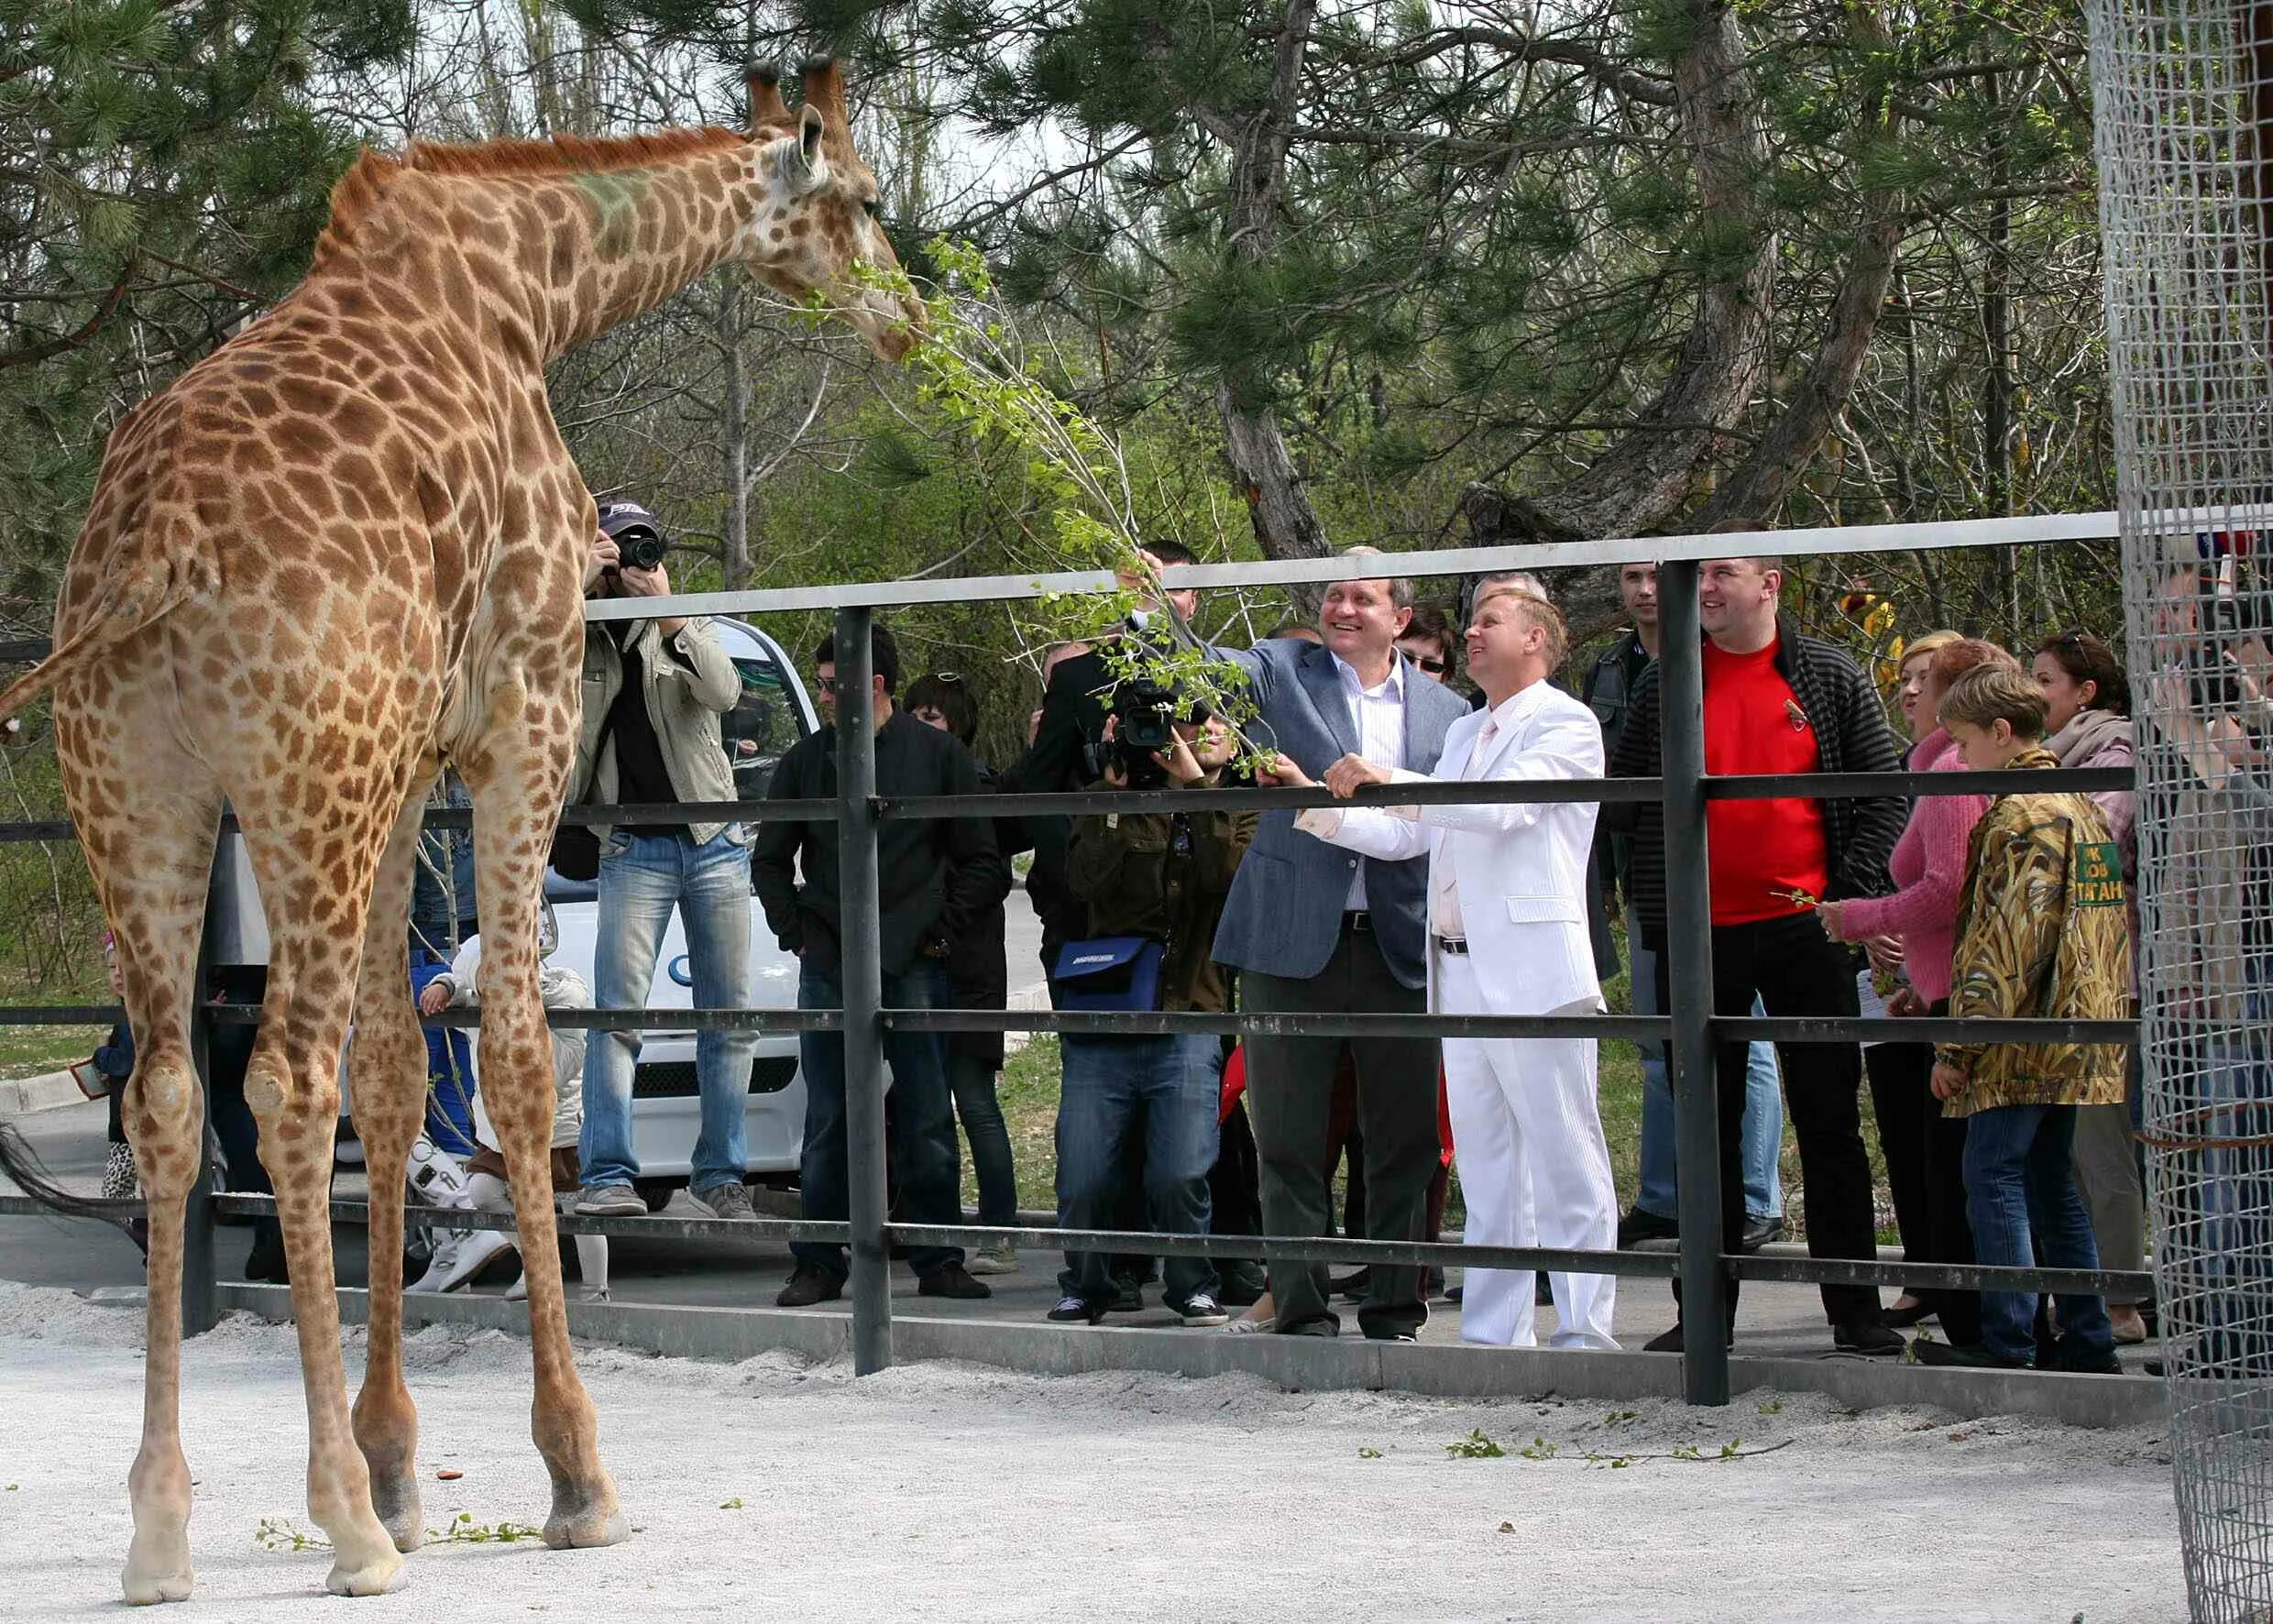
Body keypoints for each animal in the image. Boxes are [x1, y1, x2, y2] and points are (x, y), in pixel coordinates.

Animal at [0, 60, 922, 1598]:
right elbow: (516, 1061)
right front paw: (569, 1474)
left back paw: (163, 1531)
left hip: (145, 798)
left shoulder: (408, 765)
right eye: (857, 199)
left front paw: (398, 1457)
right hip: (305, 782)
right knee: (284, 1083)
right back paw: (343, 1529)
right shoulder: (522, 713)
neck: (533, 285)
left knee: (176, 1095)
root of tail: (150, 560)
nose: (906, 318)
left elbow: (396, 1073)